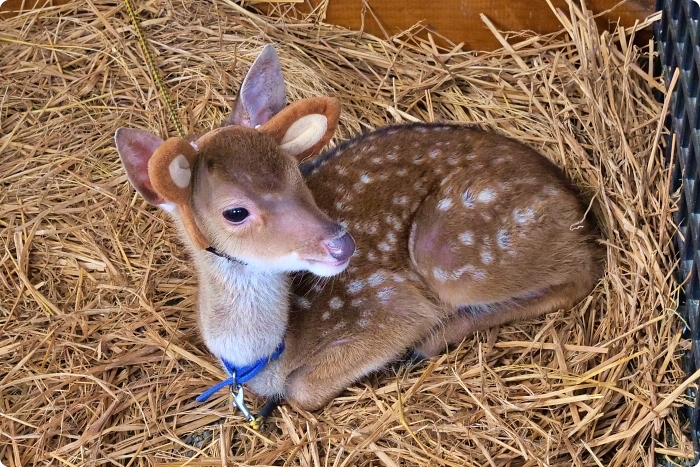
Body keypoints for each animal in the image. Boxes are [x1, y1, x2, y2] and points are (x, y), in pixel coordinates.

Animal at [113, 46, 600, 414]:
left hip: (454, 255)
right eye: (235, 212)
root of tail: (574, 202)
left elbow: (302, 391)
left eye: (295, 171)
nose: (341, 242)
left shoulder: (389, 305)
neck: (265, 358)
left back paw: (435, 339)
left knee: (580, 272)